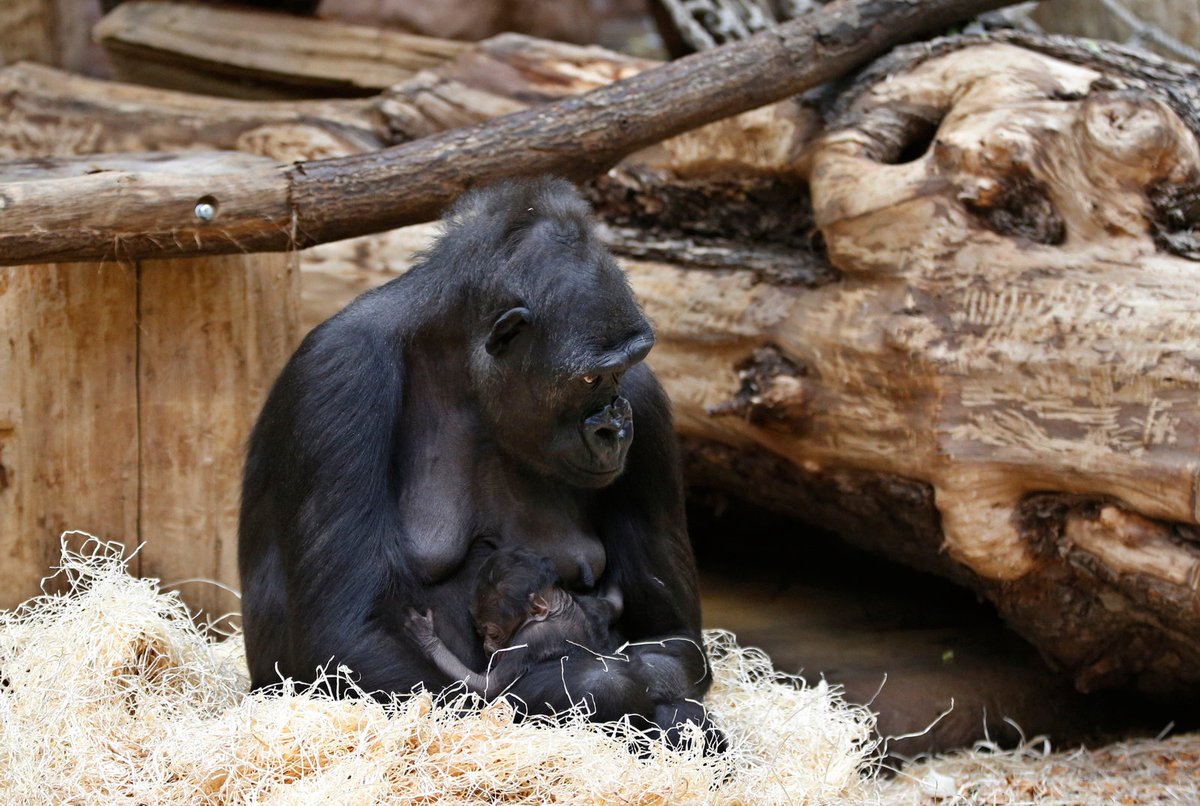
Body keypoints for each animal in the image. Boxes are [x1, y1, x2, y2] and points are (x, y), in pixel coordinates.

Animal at [241, 175, 710, 738]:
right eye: (590, 379)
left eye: (623, 370)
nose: (615, 429)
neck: (461, 364)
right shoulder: (339, 374)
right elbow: (347, 640)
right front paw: (605, 686)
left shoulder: (648, 404)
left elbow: (673, 637)